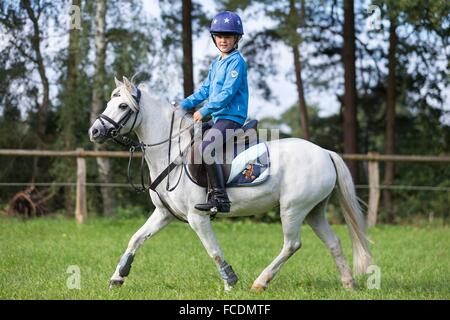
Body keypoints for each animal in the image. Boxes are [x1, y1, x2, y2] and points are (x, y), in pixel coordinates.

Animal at [89, 76, 372, 292]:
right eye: (110, 102)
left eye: (123, 106)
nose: (95, 131)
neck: (173, 153)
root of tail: (325, 152)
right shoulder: (164, 214)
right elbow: (135, 239)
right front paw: (118, 277)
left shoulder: (197, 218)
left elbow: (213, 251)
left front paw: (230, 282)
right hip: (314, 211)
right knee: (333, 242)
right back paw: (348, 284)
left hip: (293, 209)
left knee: (292, 245)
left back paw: (260, 282)